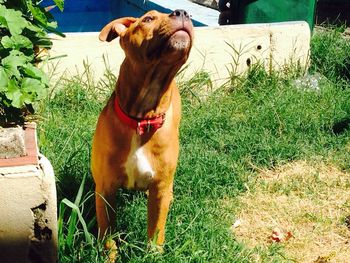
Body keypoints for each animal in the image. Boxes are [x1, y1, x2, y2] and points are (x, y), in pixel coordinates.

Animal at [91, 9, 193, 254]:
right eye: (148, 19)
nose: (183, 11)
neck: (141, 119)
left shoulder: (159, 188)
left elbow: (156, 231)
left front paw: (153, 254)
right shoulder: (105, 190)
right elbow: (108, 233)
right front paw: (110, 255)